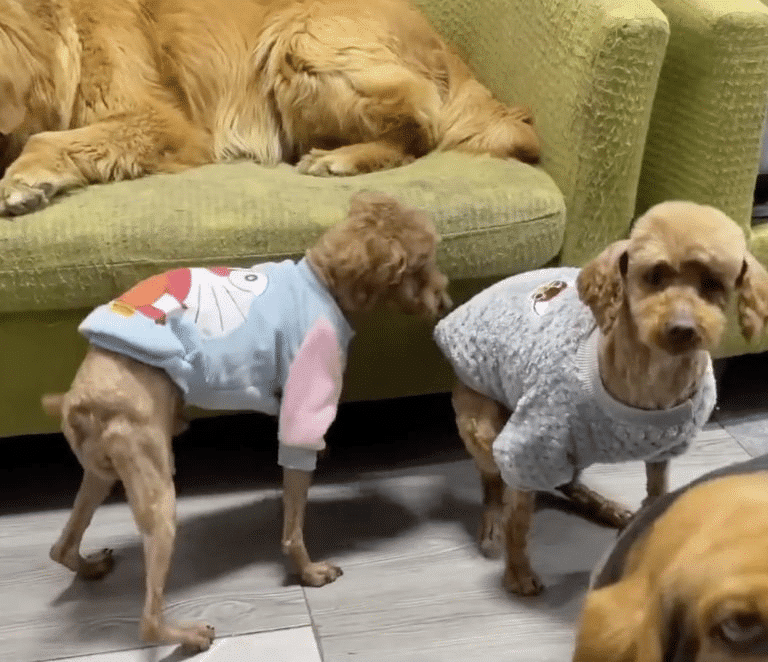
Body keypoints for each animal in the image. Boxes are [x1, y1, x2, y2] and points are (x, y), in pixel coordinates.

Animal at [0, 0, 540, 216]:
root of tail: (442, 41)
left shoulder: (161, 121)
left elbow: (45, 138)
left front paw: (21, 181)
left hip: (299, 43)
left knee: (419, 129)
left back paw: (340, 159)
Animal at [42, 191, 452, 651]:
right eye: (420, 266)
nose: (446, 299)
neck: (323, 279)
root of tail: (77, 401)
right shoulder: (305, 397)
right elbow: (293, 521)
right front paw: (309, 572)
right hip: (154, 482)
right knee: (146, 621)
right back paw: (189, 635)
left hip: (101, 472)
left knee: (62, 546)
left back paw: (90, 566)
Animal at [433, 201, 768, 595]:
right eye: (654, 275)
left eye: (714, 284)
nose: (682, 329)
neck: (652, 377)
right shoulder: (527, 445)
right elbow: (518, 522)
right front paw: (517, 573)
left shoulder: (662, 452)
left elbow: (657, 494)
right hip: (485, 429)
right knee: (494, 486)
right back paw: (492, 523)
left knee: (565, 481)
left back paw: (604, 506)